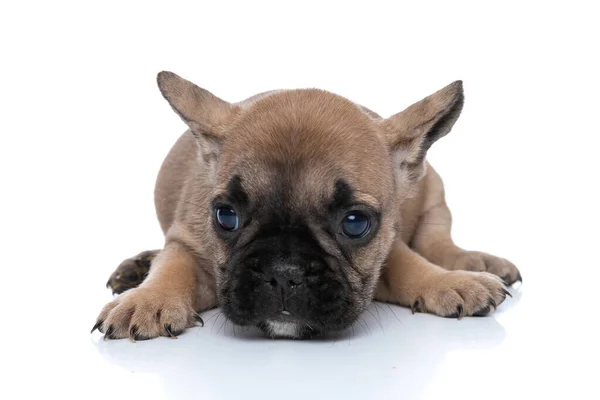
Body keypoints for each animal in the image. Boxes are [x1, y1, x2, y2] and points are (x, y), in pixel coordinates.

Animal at [92, 72, 520, 340]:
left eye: (355, 223)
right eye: (226, 216)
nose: (283, 273)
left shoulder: (390, 242)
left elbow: (409, 264)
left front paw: (450, 282)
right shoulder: (186, 239)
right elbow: (172, 266)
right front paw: (147, 300)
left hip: (435, 201)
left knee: (436, 243)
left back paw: (475, 263)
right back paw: (137, 267)